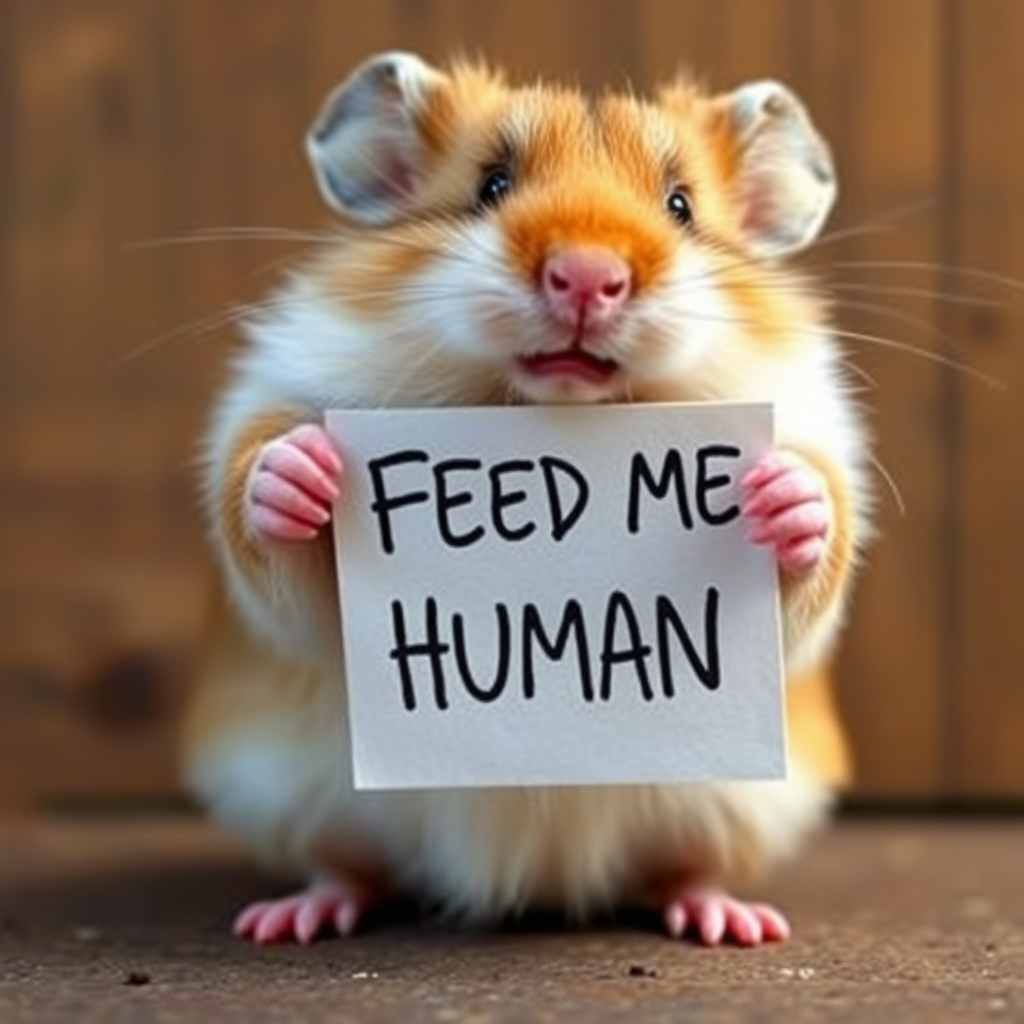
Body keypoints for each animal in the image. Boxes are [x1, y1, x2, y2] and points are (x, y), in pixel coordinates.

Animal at [184, 51, 871, 947]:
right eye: (491, 184)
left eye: (681, 206)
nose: (586, 276)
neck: (547, 406)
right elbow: (263, 510)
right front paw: (304, 469)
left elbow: (818, 540)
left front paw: (779, 492)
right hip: (307, 803)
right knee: (351, 868)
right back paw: (292, 920)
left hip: (729, 809)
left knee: (681, 871)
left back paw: (732, 923)